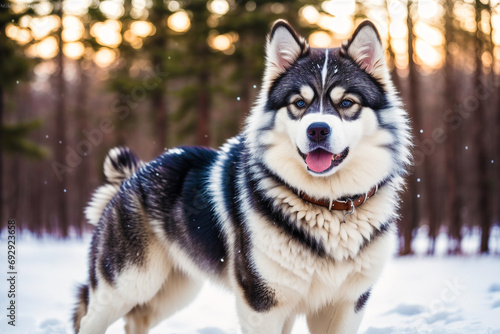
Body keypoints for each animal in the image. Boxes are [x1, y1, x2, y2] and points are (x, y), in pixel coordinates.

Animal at [73, 18, 410, 334]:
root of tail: (135, 173)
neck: (326, 205)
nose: (317, 130)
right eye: (299, 103)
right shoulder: (261, 302)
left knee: (136, 319)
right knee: (89, 318)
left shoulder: (346, 304)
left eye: (347, 103)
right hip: (128, 283)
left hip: (174, 289)